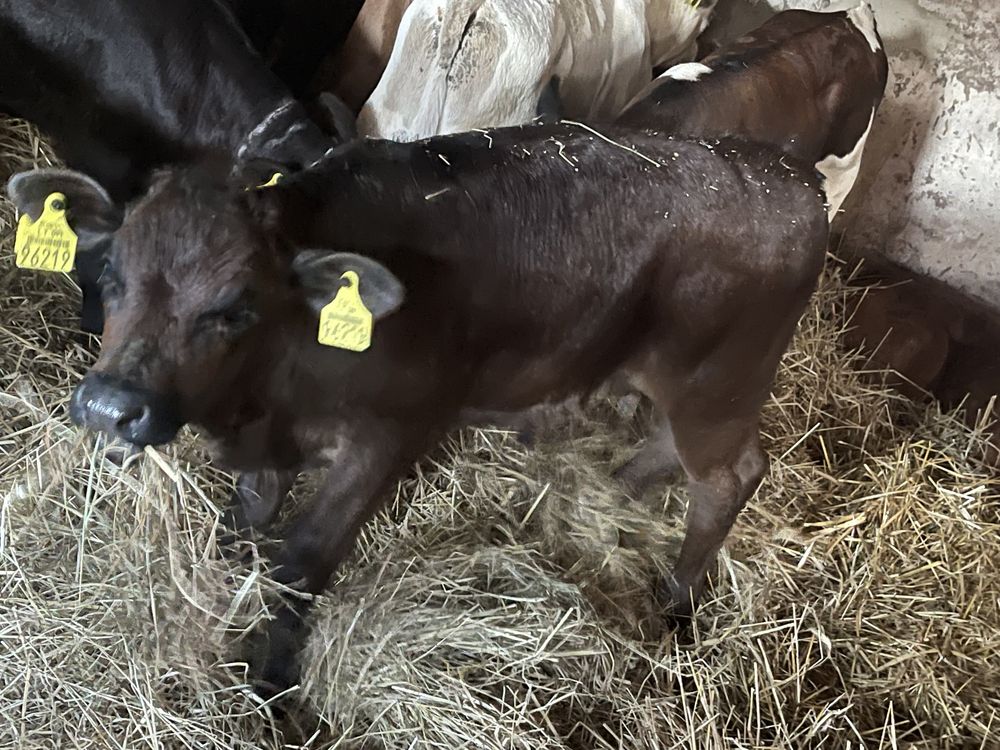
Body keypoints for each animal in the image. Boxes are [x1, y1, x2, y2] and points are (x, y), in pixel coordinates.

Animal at [7, 123, 828, 692]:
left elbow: (305, 556)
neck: (271, 390)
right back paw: (610, 495)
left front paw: (273, 683)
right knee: (666, 453)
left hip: (716, 383)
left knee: (729, 476)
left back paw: (676, 605)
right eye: (110, 274)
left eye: (235, 307)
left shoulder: (388, 439)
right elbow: (247, 520)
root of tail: (788, 173)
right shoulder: (269, 447)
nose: (112, 407)